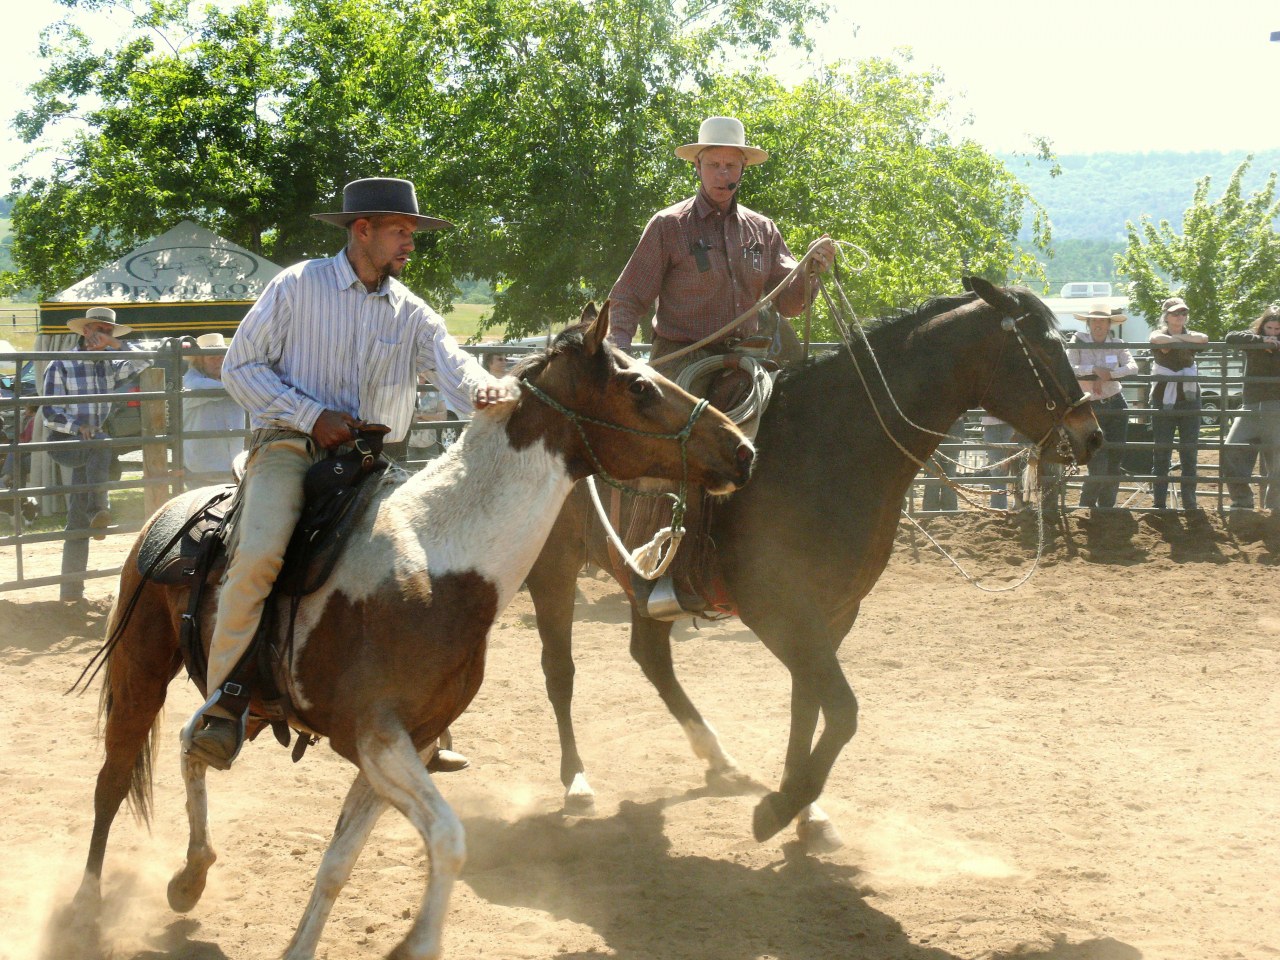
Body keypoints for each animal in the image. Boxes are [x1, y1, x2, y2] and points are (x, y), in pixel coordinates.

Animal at [64, 305, 752, 960]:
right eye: (639, 386)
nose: (741, 448)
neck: (436, 563)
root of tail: (171, 510)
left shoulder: (407, 743)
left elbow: (339, 861)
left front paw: (301, 946)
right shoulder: (377, 736)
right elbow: (448, 837)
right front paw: (416, 943)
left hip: (247, 701)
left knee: (192, 744)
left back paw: (191, 876)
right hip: (139, 670)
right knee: (111, 781)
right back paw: (86, 906)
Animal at [524, 281, 1105, 855]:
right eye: (1046, 344)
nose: (1093, 434)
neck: (830, 448)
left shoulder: (834, 612)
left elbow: (807, 704)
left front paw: (806, 809)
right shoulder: (777, 610)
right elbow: (842, 710)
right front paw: (779, 809)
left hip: (641, 583)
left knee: (650, 657)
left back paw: (720, 761)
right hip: (552, 570)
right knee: (560, 671)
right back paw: (577, 782)